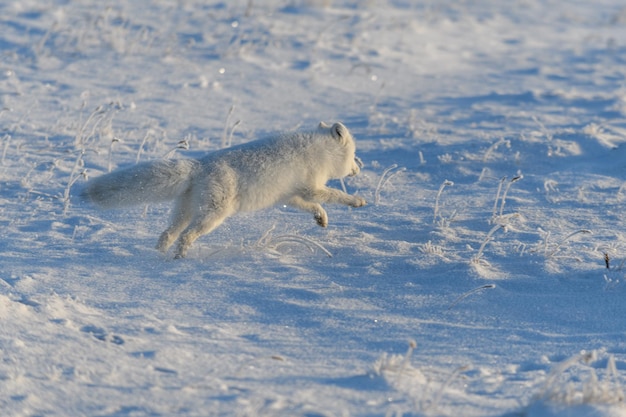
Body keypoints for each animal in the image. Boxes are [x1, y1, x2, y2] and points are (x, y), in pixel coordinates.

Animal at [82, 120, 366, 256]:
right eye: (354, 155)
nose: (359, 169)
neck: (321, 151)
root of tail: (199, 166)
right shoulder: (310, 186)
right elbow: (333, 195)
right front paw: (358, 201)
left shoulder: (290, 194)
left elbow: (311, 205)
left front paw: (321, 219)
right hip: (213, 215)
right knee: (186, 236)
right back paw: (179, 258)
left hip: (184, 210)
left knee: (167, 233)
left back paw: (159, 257)